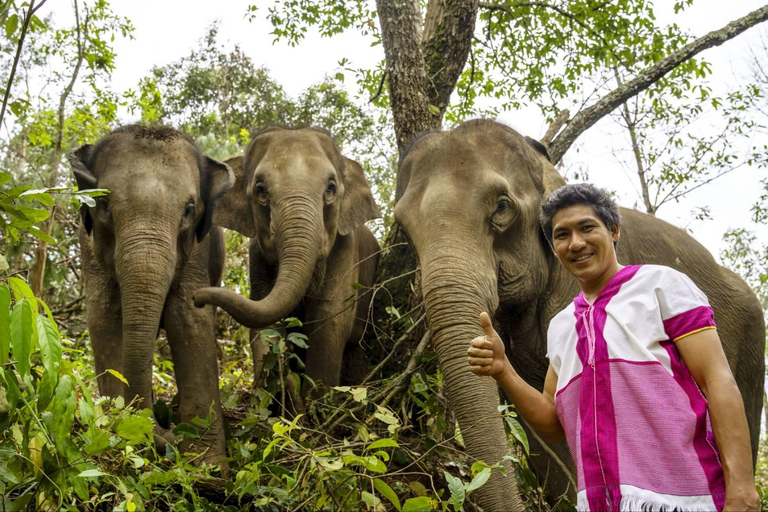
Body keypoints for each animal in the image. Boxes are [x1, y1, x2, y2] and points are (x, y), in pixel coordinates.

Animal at [71, 125, 234, 472]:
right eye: (104, 205)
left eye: (189, 210)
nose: (168, 432)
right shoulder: (88, 246)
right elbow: (105, 320)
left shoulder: (198, 253)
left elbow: (189, 319)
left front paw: (209, 473)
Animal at [194, 126, 382, 390]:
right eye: (261, 190)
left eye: (331, 189)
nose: (196, 298)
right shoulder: (257, 255)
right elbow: (264, 320)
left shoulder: (346, 250)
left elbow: (330, 320)